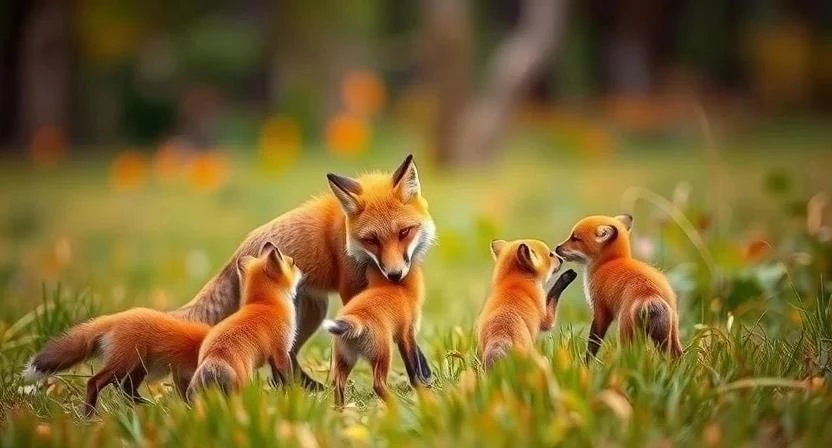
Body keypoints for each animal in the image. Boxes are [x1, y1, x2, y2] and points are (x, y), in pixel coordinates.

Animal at [20, 308, 209, 418]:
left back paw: (151, 407)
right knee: (95, 382)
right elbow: (188, 395)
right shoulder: (183, 372)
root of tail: (113, 318)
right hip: (123, 364)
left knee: (126, 390)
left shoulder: (182, 373)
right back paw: (89, 418)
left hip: (138, 366)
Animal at [186, 242, 301, 398]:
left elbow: (278, 381)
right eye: (293, 262)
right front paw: (292, 393)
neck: (265, 303)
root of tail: (214, 357)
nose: (302, 271)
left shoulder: (272, 357)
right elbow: (288, 379)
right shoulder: (282, 351)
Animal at [322, 265, 428, 407]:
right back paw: (399, 404)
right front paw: (420, 386)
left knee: (337, 382)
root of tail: (357, 317)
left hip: (346, 359)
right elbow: (413, 367)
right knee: (378, 384)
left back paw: (340, 408)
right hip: (384, 355)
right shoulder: (406, 334)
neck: (402, 291)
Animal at [476, 239, 576, 370]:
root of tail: (500, 335)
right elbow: (552, 295)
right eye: (550, 254)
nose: (561, 258)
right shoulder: (546, 319)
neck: (513, 282)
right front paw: (566, 277)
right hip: (538, 360)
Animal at [554, 214, 683, 362]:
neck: (607, 262)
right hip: (672, 332)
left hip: (625, 334)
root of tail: (651, 293)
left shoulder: (601, 310)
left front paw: (586, 363)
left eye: (575, 238)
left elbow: (593, 343)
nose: (557, 247)